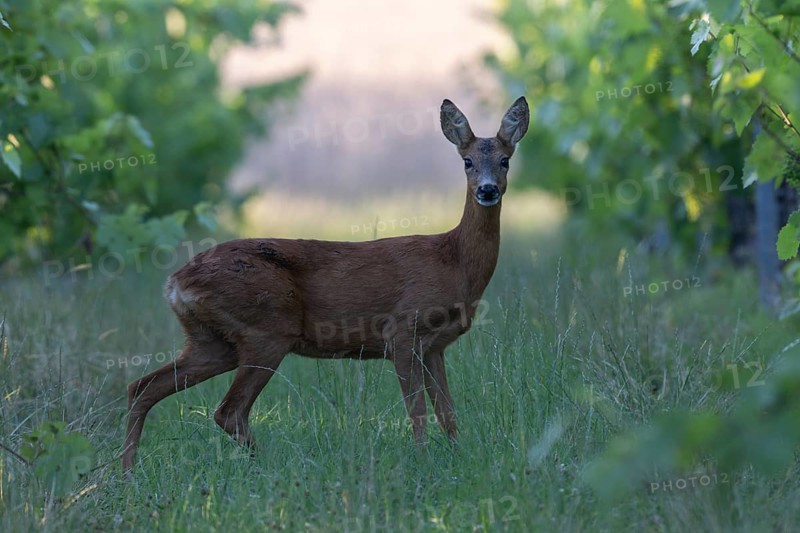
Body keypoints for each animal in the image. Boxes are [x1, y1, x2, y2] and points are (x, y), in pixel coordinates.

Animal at [122, 97, 529, 471]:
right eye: (467, 162)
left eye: (505, 160)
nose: (488, 190)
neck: (453, 261)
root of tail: (175, 282)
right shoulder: (402, 331)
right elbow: (417, 411)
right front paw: (423, 461)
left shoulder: (435, 347)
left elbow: (448, 412)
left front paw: (457, 458)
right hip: (267, 329)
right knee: (228, 410)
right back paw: (270, 467)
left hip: (212, 341)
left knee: (143, 387)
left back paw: (126, 472)